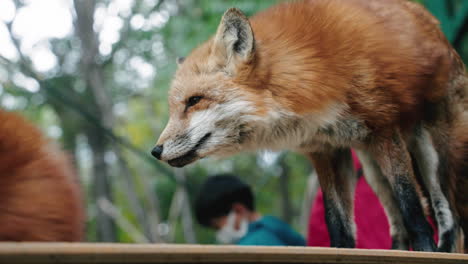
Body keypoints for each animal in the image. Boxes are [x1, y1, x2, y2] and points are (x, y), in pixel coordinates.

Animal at [152, 0, 466, 252]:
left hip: (433, 153)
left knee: (448, 213)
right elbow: (336, 219)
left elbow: (410, 203)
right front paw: (342, 251)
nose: (156, 151)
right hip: (371, 169)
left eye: (194, 101)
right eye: (174, 107)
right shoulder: (326, 149)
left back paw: (442, 248)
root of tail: (431, 22)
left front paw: (425, 250)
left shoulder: (383, 132)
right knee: (397, 222)